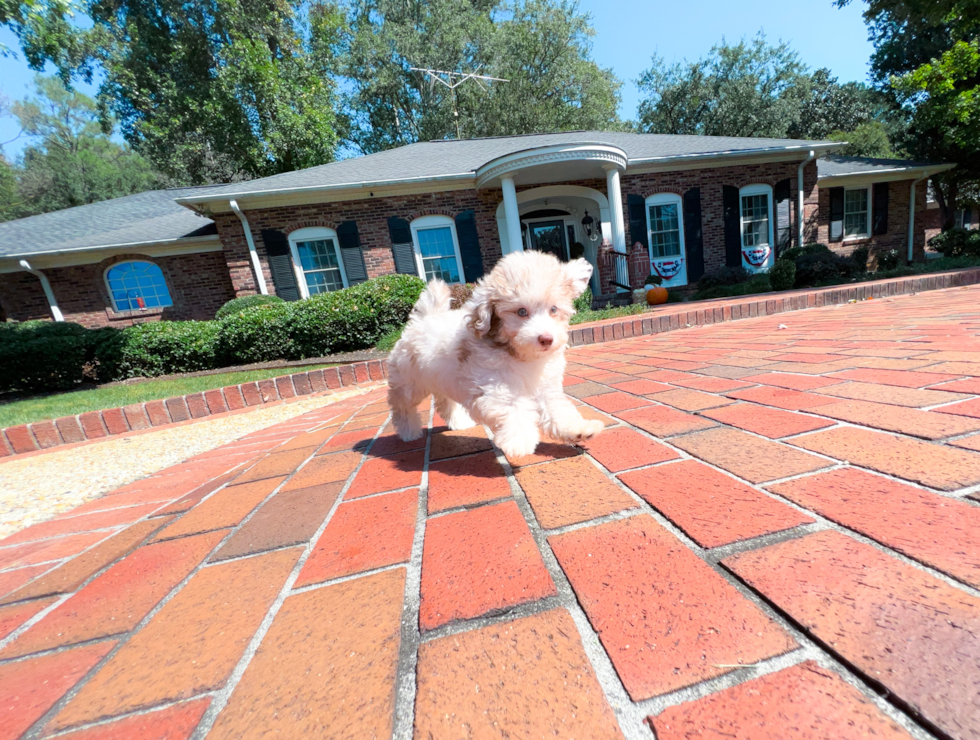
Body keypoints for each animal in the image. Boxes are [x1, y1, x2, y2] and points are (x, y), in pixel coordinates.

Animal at [384, 249, 600, 456]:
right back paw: (408, 431)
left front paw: (577, 428)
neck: (519, 354)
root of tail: (421, 320)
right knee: (401, 405)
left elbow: (557, 408)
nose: (546, 339)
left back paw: (459, 422)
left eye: (554, 309)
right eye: (521, 312)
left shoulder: (545, 385)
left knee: (445, 401)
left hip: (440, 377)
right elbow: (512, 406)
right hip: (410, 383)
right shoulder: (492, 385)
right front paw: (519, 440)